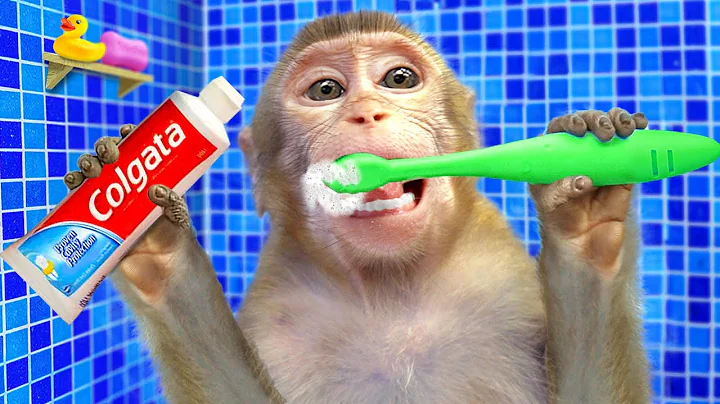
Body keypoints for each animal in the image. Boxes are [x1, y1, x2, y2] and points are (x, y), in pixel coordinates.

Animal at [63, 11, 651, 404]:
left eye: (399, 79)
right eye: (326, 89)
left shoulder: (506, 285)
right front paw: (152, 239)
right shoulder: (280, 319)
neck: (392, 293)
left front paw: (581, 213)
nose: (366, 112)